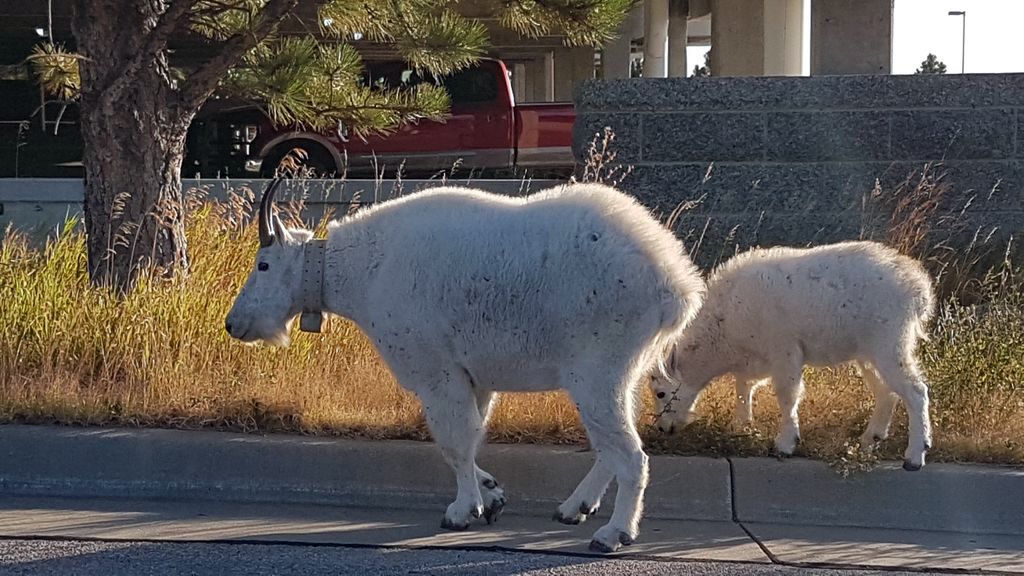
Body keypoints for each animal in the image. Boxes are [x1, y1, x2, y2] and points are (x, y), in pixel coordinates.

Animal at [224, 180, 704, 553]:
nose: (234, 323)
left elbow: (453, 443)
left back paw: (613, 533)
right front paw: (491, 496)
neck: (361, 271)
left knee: (630, 454)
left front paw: (461, 511)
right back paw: (574, 508)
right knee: (613, 446)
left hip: (598, 370)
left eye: (263, 264)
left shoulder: (437, 371)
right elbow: (472, 437)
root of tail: (675, 286)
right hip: (622, 372)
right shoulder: (475, 377)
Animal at [647, 239, 937, 469]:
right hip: (868, 352)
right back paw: (869, 440)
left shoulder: (784, 349)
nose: (663, 428)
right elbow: (744, 387)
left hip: (890, 342)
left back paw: (915, 455)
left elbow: (787, 395)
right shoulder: (756, 358)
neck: (725, 325)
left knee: (915, 391)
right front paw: (742, 427)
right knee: (887, 391)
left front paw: (785, 443)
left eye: (660, 393)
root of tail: (919, 289)